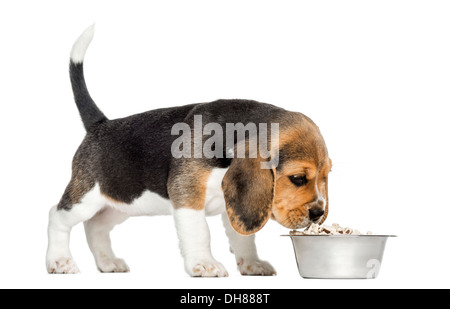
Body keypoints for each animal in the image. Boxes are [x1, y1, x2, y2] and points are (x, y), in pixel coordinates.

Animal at [46, 25, 330, 274]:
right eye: (297, 178)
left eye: (326, 176)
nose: (319, 213)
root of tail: (100, 124)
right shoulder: (187, 194)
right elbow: (199, 232)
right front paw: (204, 264)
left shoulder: (232, 204)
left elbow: (242, 237)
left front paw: (252, 264)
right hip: (86, 198)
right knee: (57, 215)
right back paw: (59, 261)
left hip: (123, 202)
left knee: (96, 226)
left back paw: (107, 262)